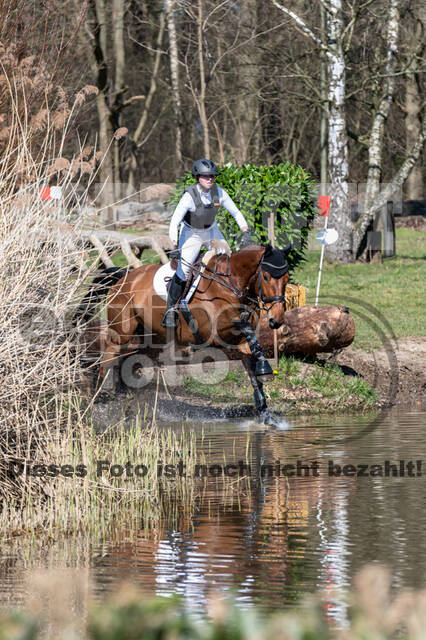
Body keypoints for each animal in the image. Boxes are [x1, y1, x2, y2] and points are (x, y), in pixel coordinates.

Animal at [83, 245, 290, 424]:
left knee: (127, 358)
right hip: (121, 333)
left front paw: (266, 415)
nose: (276, 320)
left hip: (148, 338)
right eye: (266, 276)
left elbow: (254, 368)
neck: (230, 287)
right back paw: (100, 399)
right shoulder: (214, 333)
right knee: (108, 357)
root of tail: (125, 277)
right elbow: (247, 331)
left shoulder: (240, 342)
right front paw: (265, 369)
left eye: (287, 278)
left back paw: (123, 396)